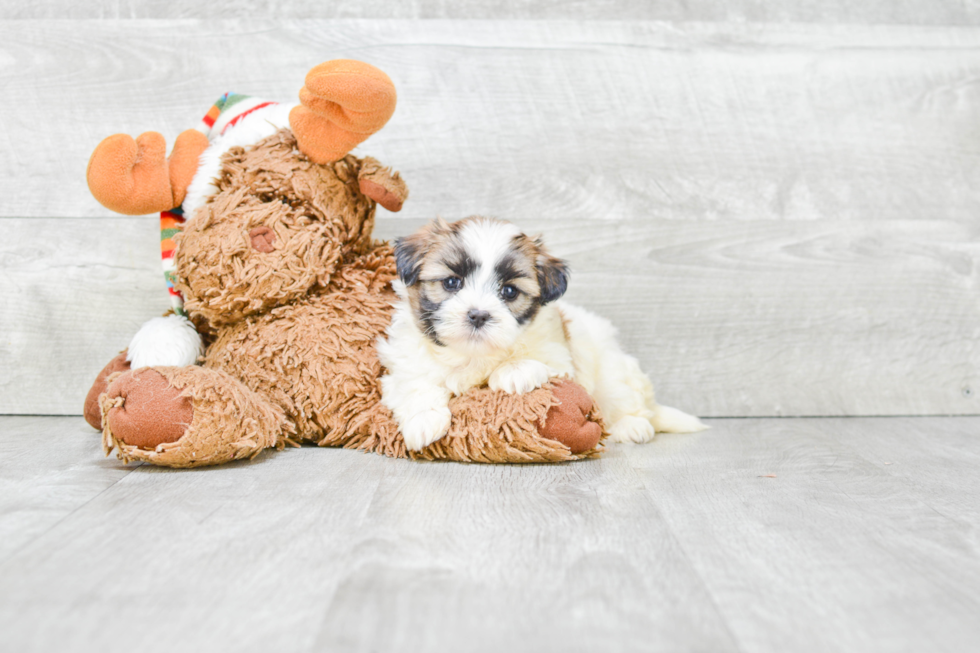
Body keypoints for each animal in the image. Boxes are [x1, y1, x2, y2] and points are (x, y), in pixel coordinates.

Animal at [376, 216, 704, 450]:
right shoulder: (404, 362)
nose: (478, 314)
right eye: (451, 282)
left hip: (613, 372)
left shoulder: (559, 355)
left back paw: (632, 426)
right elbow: (415, 384)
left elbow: (540, 362)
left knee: (625, 400)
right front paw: (423, 420)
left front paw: (514, 371)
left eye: (509, 291)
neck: (474, 354)